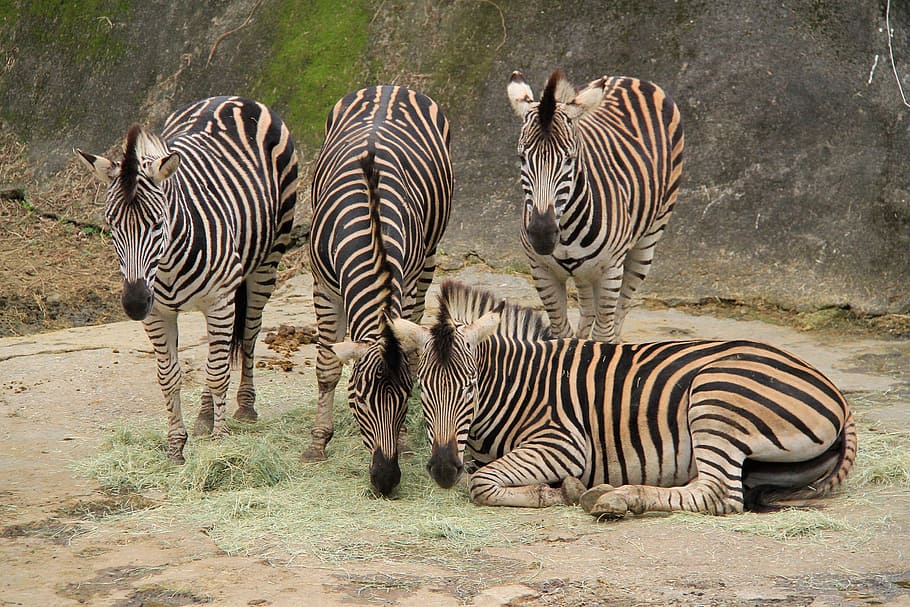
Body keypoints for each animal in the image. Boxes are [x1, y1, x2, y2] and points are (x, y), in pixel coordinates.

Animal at [75, 96, 298, 464]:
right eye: (112, 226)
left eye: (157, 222)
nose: (133, 303)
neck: (166, 265)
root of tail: (234, 99)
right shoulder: (157, 313)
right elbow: (170, 377)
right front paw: (175, 447)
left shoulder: (220, 300)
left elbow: (219, 371)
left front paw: (221, 444)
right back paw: (205, 416)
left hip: (268, 260)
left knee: (249, 334)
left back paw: (245, 407)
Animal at [306, 85, 453, 495]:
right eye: (359, 398)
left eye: (405, 398)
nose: (386, 480)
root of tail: (391, 86)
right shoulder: (323, 287)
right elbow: (327, 367)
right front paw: (318, 443)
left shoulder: (411, 273)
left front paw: (402, 440)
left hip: (429, 257)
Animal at [392, 280, 856, 517]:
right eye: (423, 389)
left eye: (470, 387)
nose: (443, 468)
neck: (517, 385)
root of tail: (839, 396)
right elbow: (479, 473)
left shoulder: (563, 442)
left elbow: (481, 483)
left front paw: (558, 492)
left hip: (715, 400)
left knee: (718, 495)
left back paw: (614, 498)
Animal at [507, 69, 684, 343]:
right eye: (522, 157)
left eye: (569, 159)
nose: (542, 234)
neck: (566, 231)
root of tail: (633, 79)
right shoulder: (541, 271)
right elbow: (561, 333)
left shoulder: (610, 271)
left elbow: (603, 335)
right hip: (586, 272)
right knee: (587, 303)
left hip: (650, 236)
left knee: (620, 310)